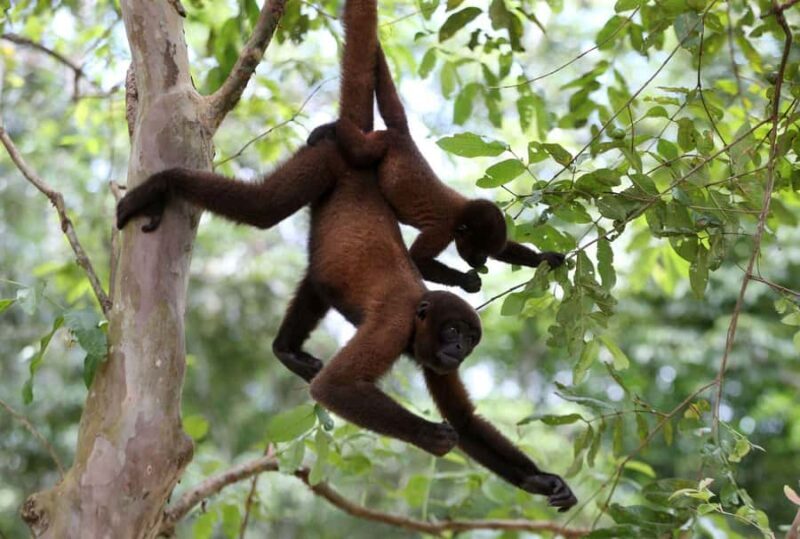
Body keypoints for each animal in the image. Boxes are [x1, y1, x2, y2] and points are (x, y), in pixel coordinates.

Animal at [308, 48, 566, 294]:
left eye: (487, 252)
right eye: (479, 250)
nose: (483, 260)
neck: (460, 215)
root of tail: (404, 137)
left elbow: (505, 249)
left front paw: (545, 257)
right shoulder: (442, 231)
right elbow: (418, 259)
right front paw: (466, 281)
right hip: (381, 142)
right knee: (360, 152)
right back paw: (331, 128)